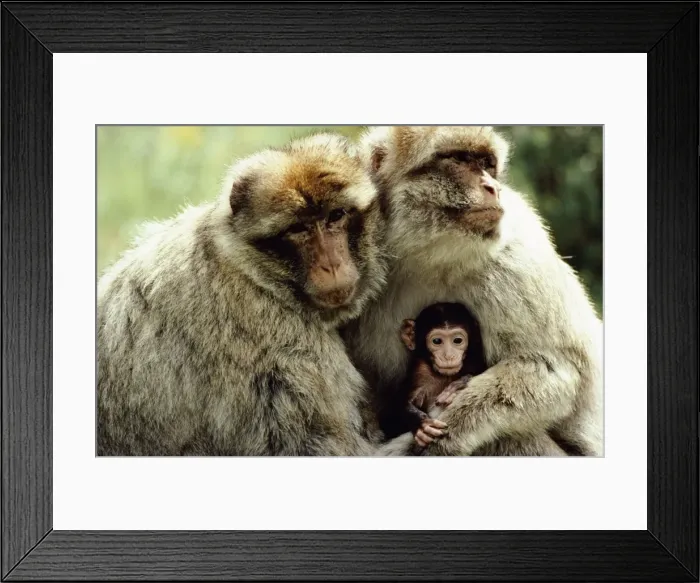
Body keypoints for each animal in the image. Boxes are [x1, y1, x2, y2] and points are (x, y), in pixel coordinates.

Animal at [345, 126, 603, 457]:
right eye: (460, 159)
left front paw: (435, 437)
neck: (428, 256)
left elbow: (550, 368)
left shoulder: (517, 260)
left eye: (487, 164)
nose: (493, 187)